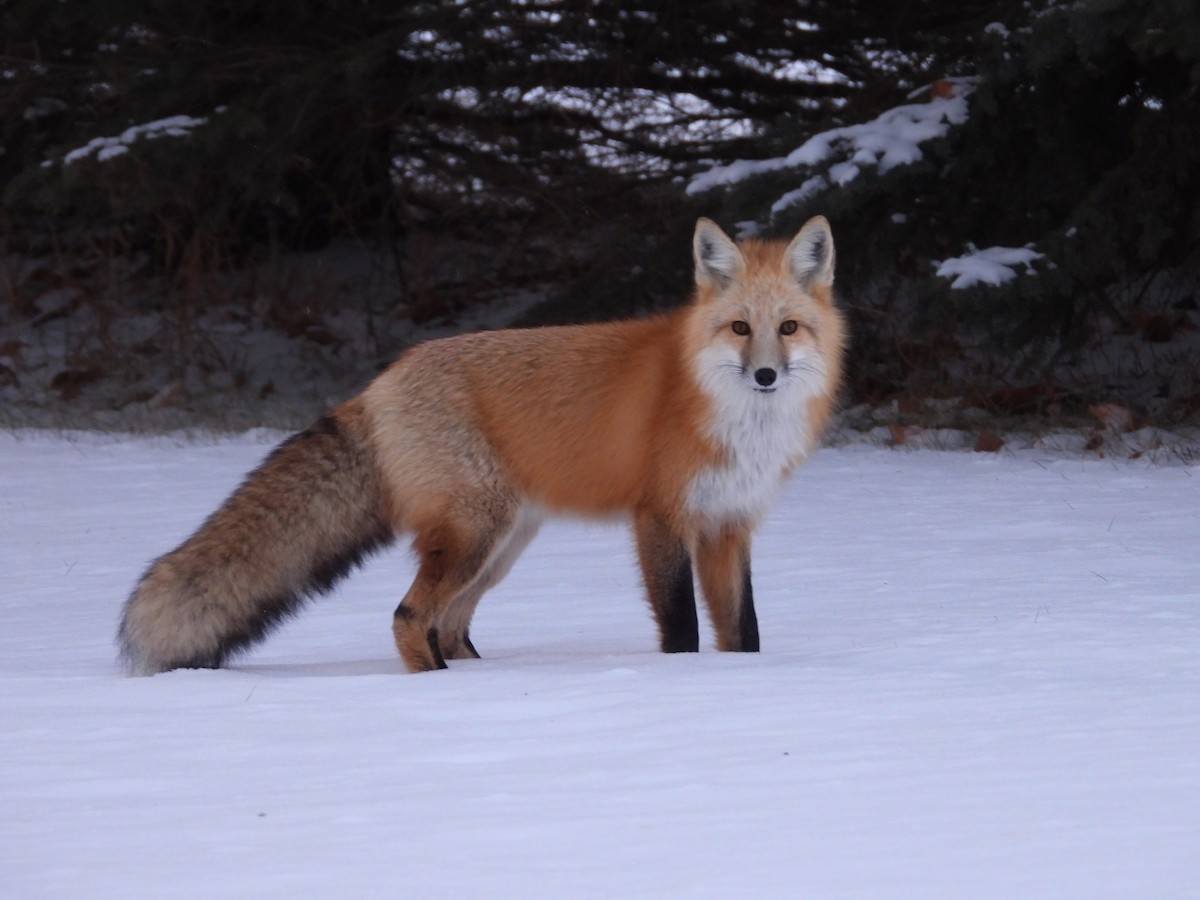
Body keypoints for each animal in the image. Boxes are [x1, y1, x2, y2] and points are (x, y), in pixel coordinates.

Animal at [118, 216, 846, 674]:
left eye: (787, 328)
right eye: (739, 328)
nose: (765, 375)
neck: (730, 418)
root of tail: (382, 381)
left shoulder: (729, 525)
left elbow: (743, 633)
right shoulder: (661, 519)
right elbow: (683, 629)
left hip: (499, 546)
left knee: (447, 624)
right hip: (476, 532)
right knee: (410, 617)